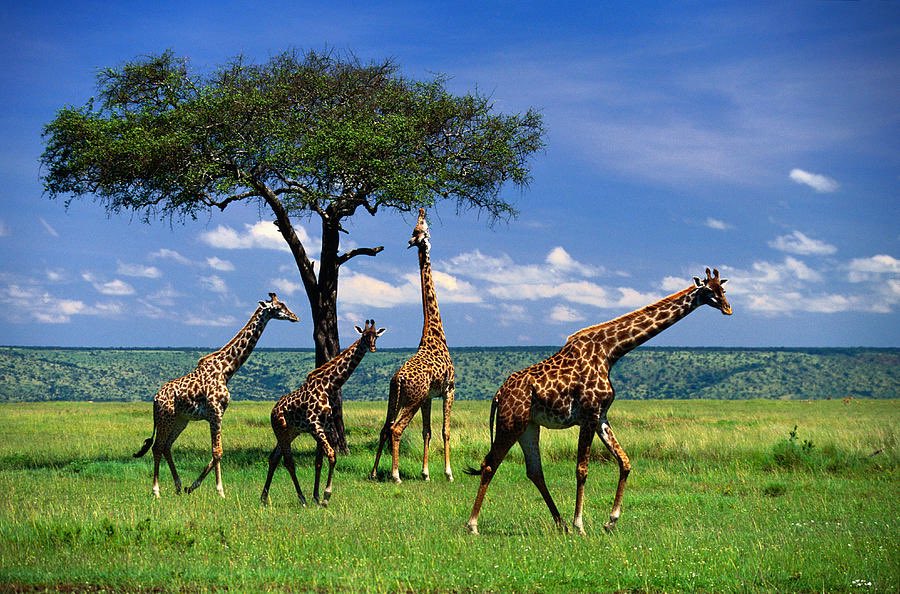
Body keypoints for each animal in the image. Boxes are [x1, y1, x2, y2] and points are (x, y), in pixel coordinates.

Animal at [134, 293, 299, 498]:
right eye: (279, 306)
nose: (295, 317)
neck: (226, 370)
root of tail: (155, 399)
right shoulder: (215, 412)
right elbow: (217, 451)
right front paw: (220, 491)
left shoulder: (218, 413)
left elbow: (217, 452)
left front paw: (192, 486)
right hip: (166, 418)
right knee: (157, 447)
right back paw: (156, 491)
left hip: (180, 420)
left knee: (166, 446)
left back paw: (179, 486)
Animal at [261, 320, 386, 507]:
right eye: (364, 335)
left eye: (376, 336)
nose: (372, 348)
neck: (328, 386)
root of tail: (273, 410)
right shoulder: (314, 424)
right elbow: (332, 455)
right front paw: (326, 496)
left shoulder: (325, 424)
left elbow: (319, 461)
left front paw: (317, 496)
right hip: (280, 430)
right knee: (288, 461)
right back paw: (301, 498)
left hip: (290, 432)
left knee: (274, 458)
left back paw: (263, 498)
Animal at [370, 208, 456, 483]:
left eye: (418, 229)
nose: (422, 210)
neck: (435, 333)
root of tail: (398, 378)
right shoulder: (449, 389)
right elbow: (445, 430)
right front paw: (448, 473)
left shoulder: (429, 396)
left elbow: (427, 431)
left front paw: (426, 473)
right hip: (412, 400)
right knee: (396, 429)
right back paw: (395, 474)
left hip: (395, 397)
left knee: (385, 427)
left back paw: (374, 472)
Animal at [465, 268, 732, 535]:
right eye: (709, 290)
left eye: (724, 289)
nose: (728, 308)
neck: (610, 351)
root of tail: (498, 395)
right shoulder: (589, 414)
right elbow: (582, 469)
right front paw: (581, 525)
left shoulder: (601, 416)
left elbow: (624, 462)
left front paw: (610, 521)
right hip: (511, 423)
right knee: (490, 464)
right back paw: (473, 525)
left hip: (529, 426)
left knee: (534, 471)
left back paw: (560, 523)